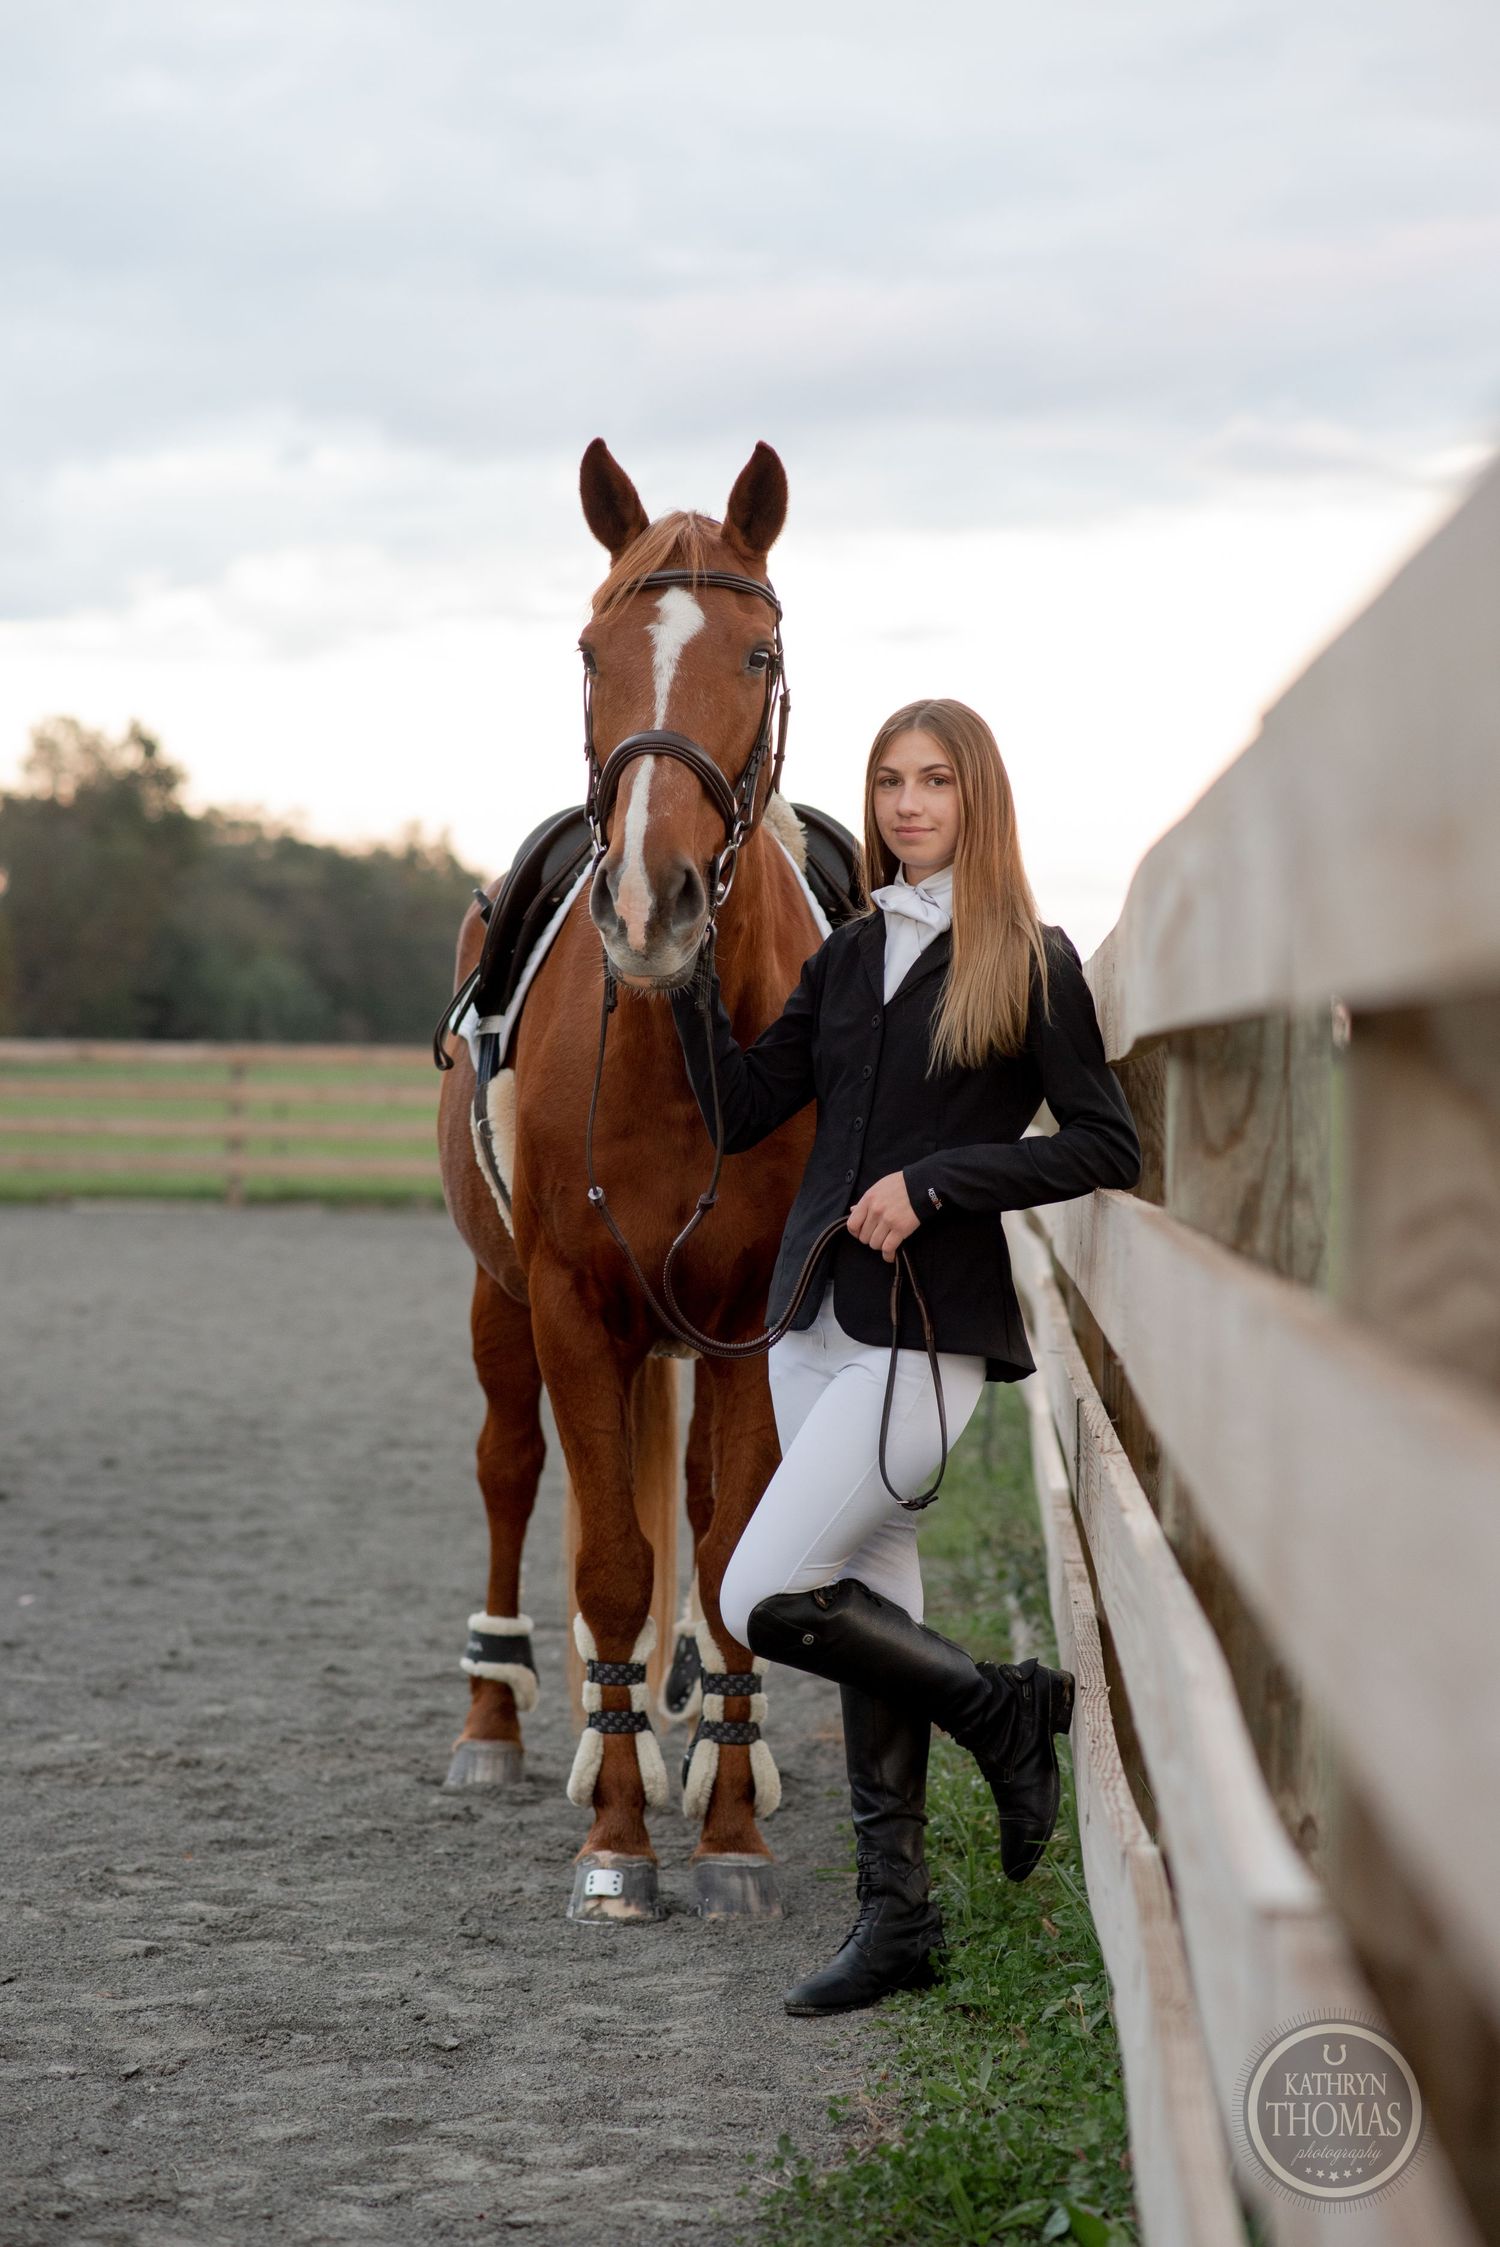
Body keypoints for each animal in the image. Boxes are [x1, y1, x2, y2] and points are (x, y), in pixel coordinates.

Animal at [435, 439, 834, 1920]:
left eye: (758, 652)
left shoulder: (754, 1319)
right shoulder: (570, 1305)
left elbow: (725, 1557)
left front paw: (729, 1829)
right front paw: (616, 1837)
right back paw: (497, 1720)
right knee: (507, 1469)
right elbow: (612, 1565)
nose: (650, 902)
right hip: (499, 1298)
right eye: (591, 650)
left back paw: (721, 1745)